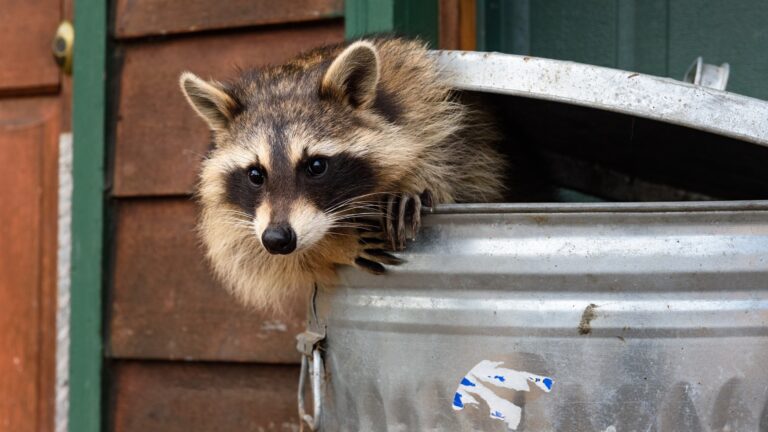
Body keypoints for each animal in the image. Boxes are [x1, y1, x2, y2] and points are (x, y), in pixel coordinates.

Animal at [179, 37, 507, 310]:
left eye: (316, 166)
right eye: (255, 175)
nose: (277, 239)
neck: (290, 81)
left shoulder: (428, 106)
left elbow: (456, 162)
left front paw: (415, 180)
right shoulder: (237, 218)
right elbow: (247, 252)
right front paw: (333, 246)